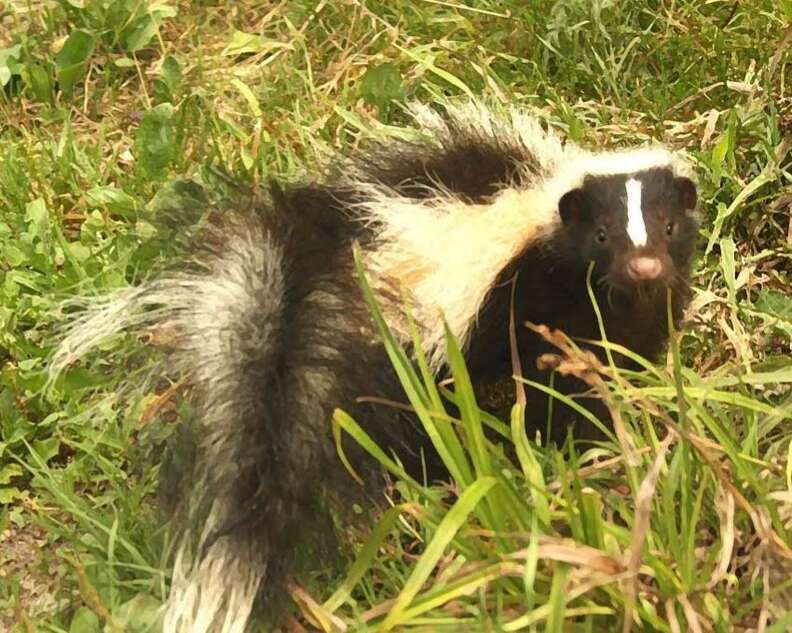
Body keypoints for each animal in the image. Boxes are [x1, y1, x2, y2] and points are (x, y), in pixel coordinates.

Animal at [52, 101, 700, 632]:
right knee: (406, 418)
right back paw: (432, 476)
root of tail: (316, 256)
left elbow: (623, 351)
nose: (644, 267)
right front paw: (584, 443)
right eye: (602, 236)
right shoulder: (529, 301)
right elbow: (556, 383)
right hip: (380, 347)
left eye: (668, 227)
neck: (537, 222)